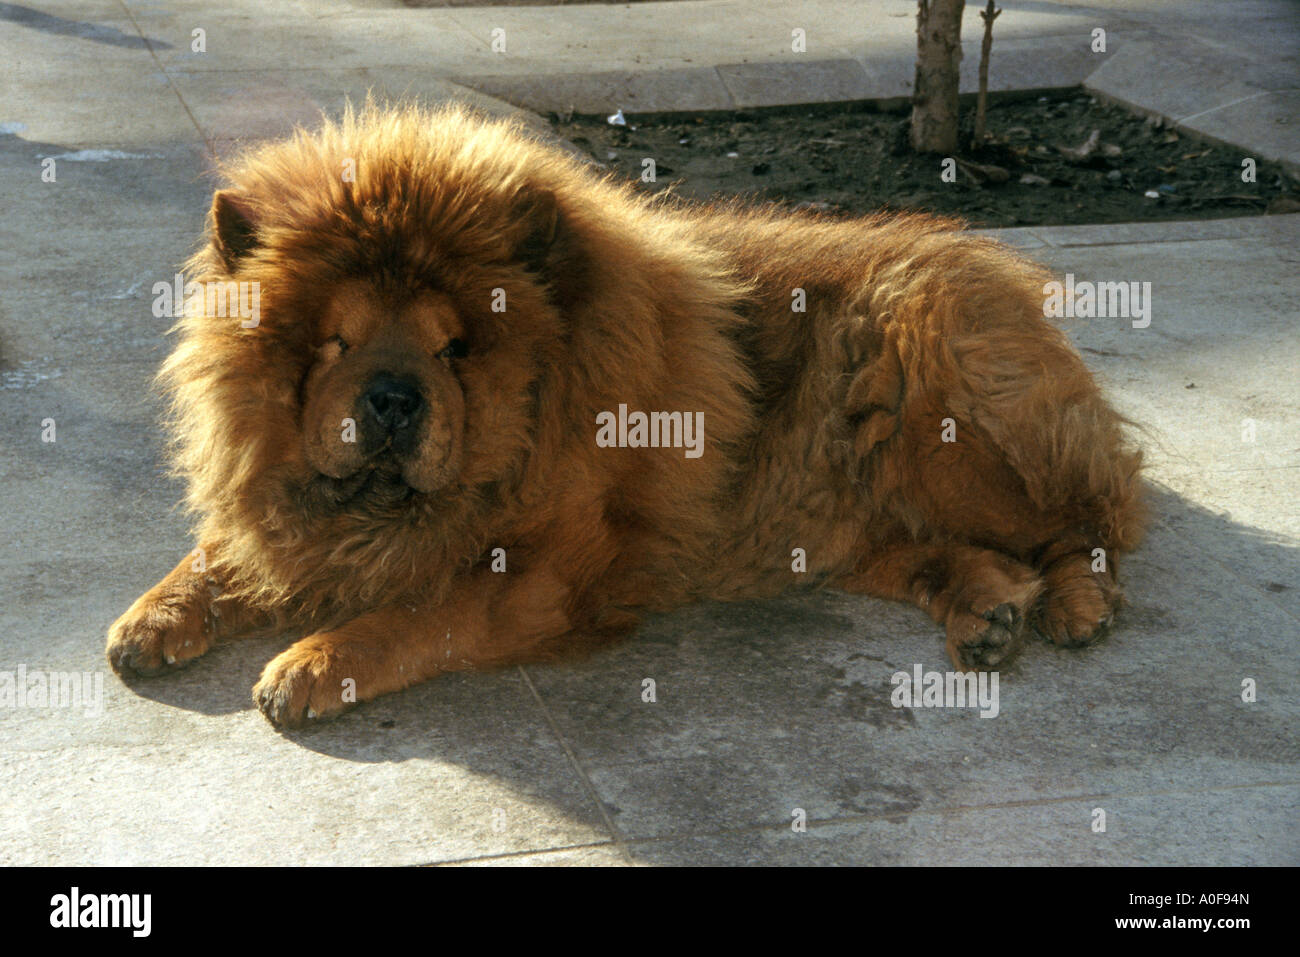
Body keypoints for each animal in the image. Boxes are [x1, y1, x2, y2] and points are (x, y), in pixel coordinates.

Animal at [106, 100, 1144, 722]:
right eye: (335, 341)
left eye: (454, 347)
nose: (393, 397)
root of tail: (996, 270)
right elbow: (219, 552)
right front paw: (152, 618)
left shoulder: (545, 570)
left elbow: (413, 611)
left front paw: (313, 662)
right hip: (831, 517)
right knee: (947, 553)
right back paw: (986, 612)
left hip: (944, 417)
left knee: (1088, 524)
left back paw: (1074, 606)